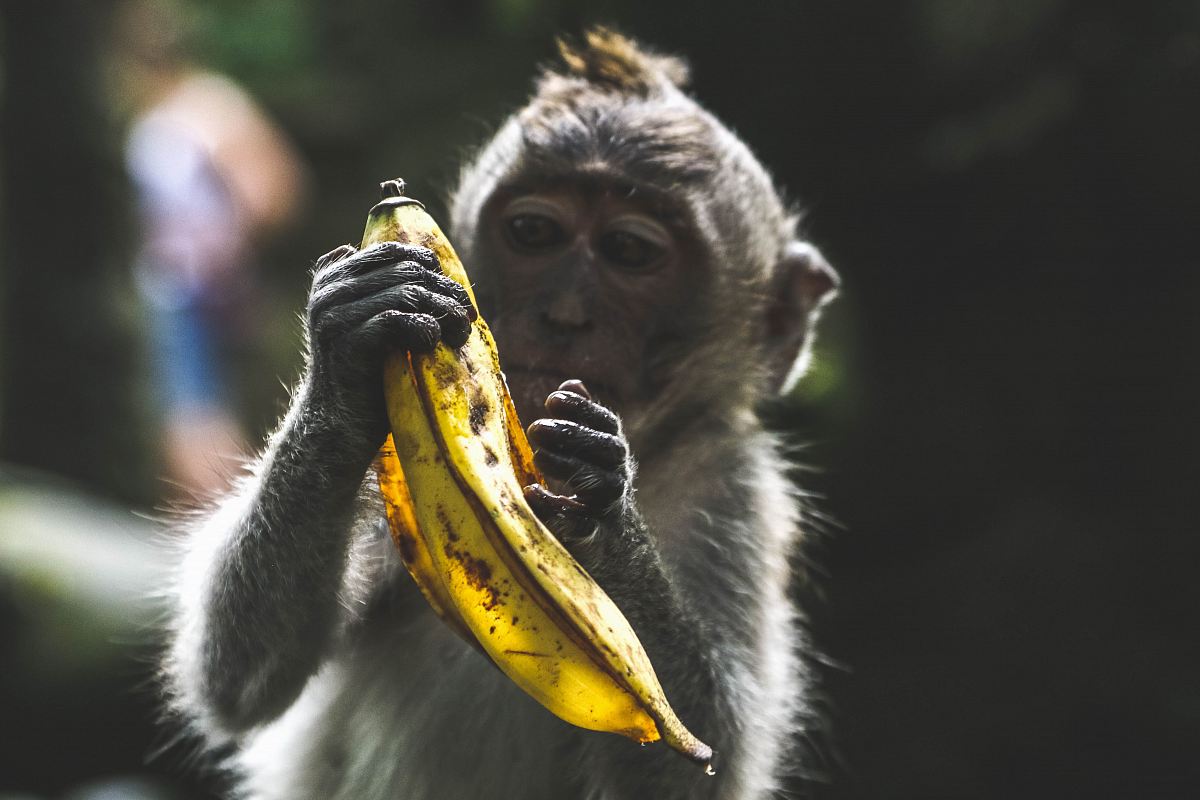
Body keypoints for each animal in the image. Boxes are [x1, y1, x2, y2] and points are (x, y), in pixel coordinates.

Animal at [166, 26, 835, 800]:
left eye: (629, 251)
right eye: (534, 233)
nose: (563, 313)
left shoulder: (739, 497)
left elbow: (709, 764)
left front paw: (602, 504)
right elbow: (243, 677)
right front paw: (341, 368)